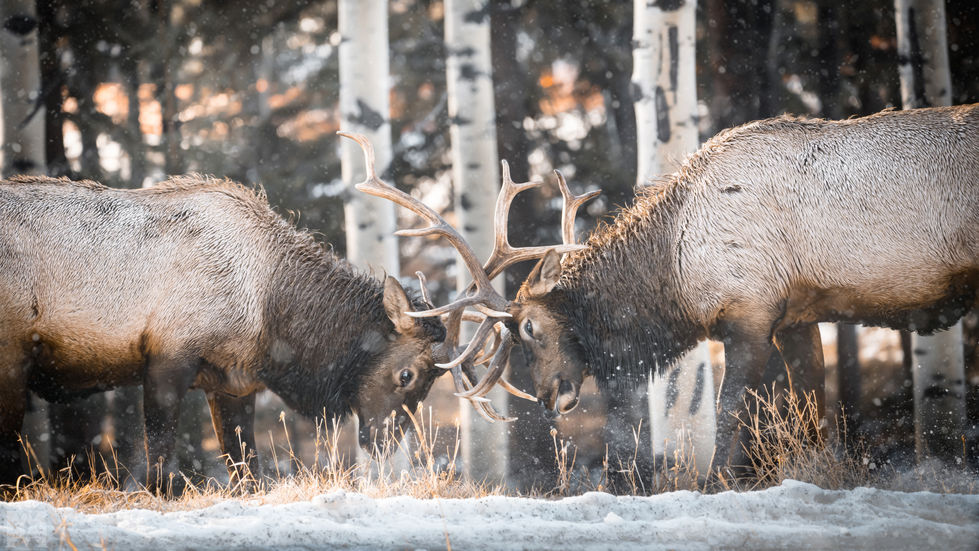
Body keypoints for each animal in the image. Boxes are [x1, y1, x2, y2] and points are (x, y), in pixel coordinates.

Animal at [0, 173, 450, 493]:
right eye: (406, 374)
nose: (384, 443)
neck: (270, 315)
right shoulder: (167, 356)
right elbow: (160, 465)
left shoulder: (232, 382)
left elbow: (247, 470)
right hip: (11, 356)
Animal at [363, 104, 979, 477]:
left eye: (531, 328)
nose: (548, 396)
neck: (676, 272)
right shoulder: (800, 314)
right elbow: (811, 408)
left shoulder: (749, 310)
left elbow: (733, 409)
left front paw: (718, 480)